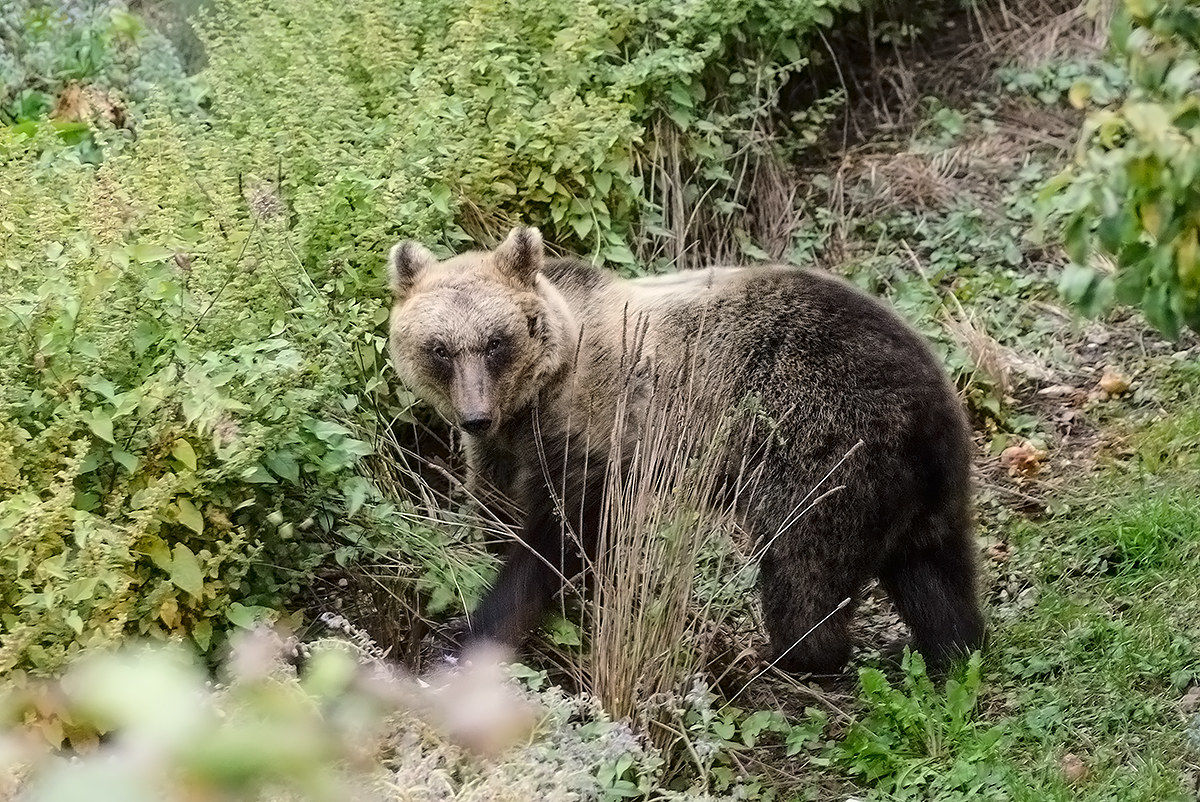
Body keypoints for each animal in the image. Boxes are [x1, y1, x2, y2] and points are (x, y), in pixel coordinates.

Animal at [385, 226, 985, 674]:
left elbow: (555, 542)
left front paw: (469, 633)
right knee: (936, 574)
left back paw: (788, 656)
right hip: (927, 486)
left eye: (496, 341)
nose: (474, 415)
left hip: (822, 448)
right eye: (438, 348)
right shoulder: (504, 453)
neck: (538, 396)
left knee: (804, 574)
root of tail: (932, 396)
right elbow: (499, 512)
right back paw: (949, 648)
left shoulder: (598, 435)